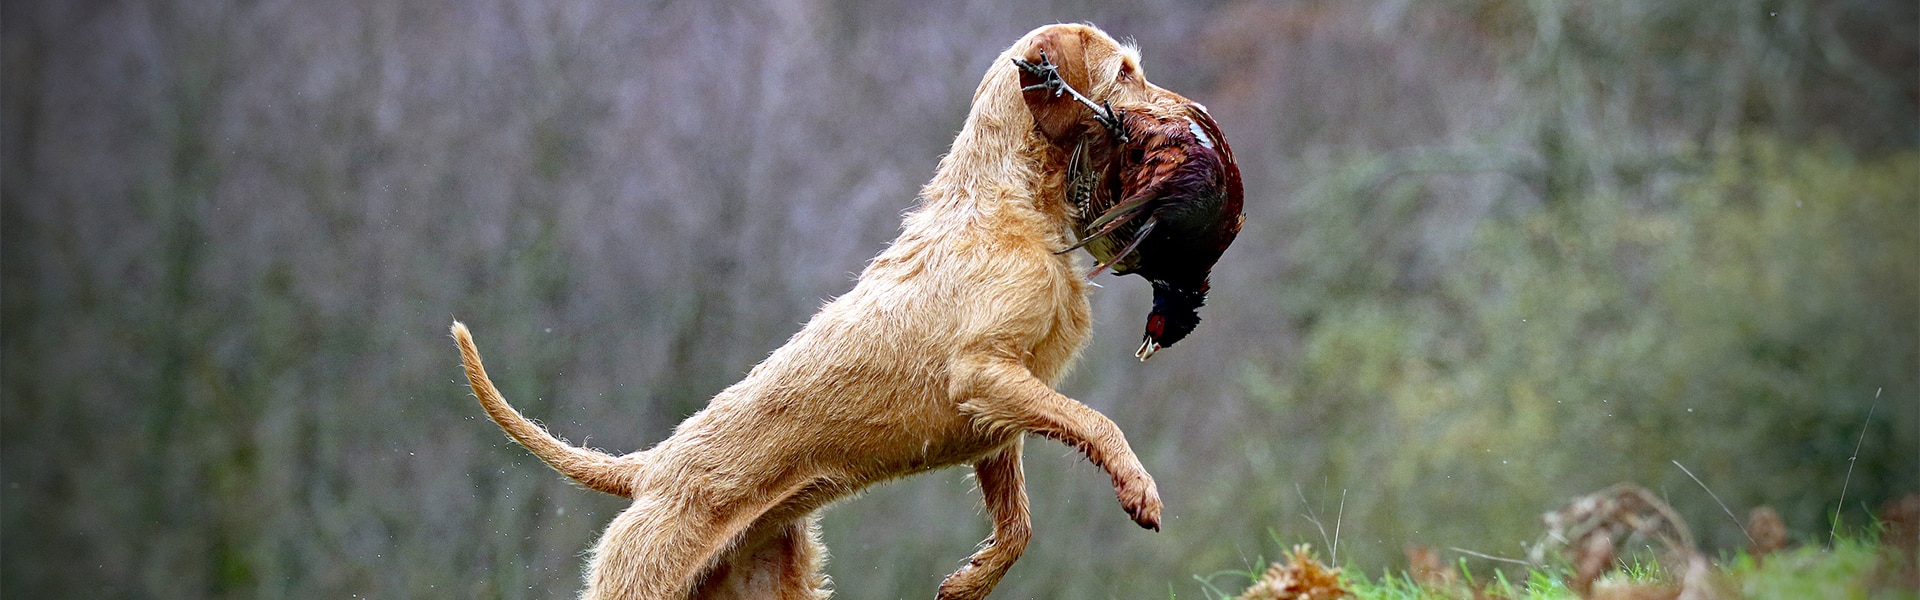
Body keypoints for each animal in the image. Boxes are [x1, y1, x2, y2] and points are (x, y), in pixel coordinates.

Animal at [453, 22, 1182, 596]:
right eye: (1125, 72)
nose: (1184, 117)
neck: (1006, 200)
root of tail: (650, 470)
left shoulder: (997, 415)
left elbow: (1018, 523)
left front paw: (974, 578)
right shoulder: (982, 372)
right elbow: (1096, 422)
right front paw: (1139, 486)